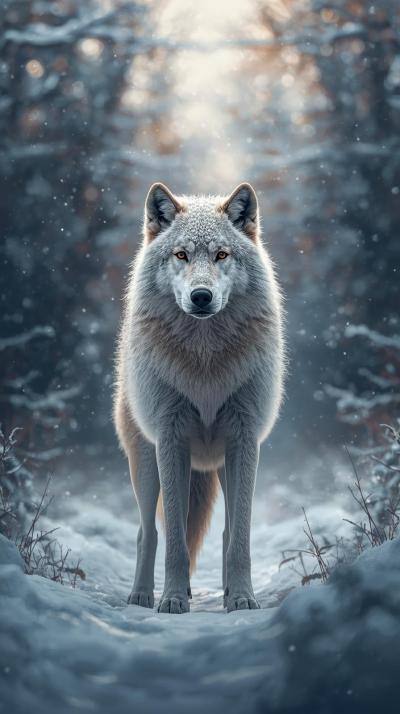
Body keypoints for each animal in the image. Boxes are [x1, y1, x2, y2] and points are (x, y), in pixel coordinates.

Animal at [114, 182, 285, 614]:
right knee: (147, 533)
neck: (205, 364)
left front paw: (241, 597)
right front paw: (174, 599)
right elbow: (175, 538)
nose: (202, 296)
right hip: (146, 466)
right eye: (182, 255)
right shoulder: (171, 441)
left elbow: (240, 537)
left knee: (226, 533)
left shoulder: (245, 442)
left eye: (221, 254)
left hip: (222, 464)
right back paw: (141, 596)